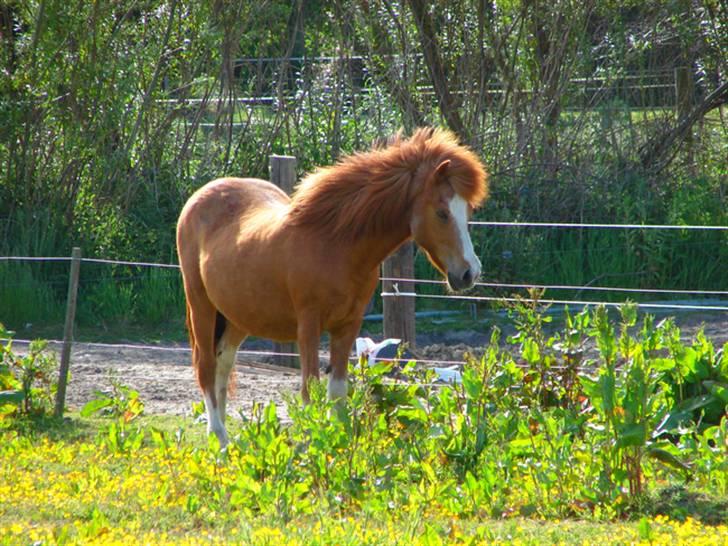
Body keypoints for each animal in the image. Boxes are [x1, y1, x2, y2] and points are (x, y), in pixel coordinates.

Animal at [175, 129, 490, 446]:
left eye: (468, 211)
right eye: (441, 213)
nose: (470, 272)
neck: (336, 244)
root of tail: (199, 198)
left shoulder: (348, 326)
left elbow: (337, 392)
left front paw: (338, 446)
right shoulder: (308, 326)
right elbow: (309, 390)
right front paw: (312, 444)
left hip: (238, 316)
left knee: (223, 364)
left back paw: (222, 439)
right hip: (201, 306)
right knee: (206, 367)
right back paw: (219, 437)